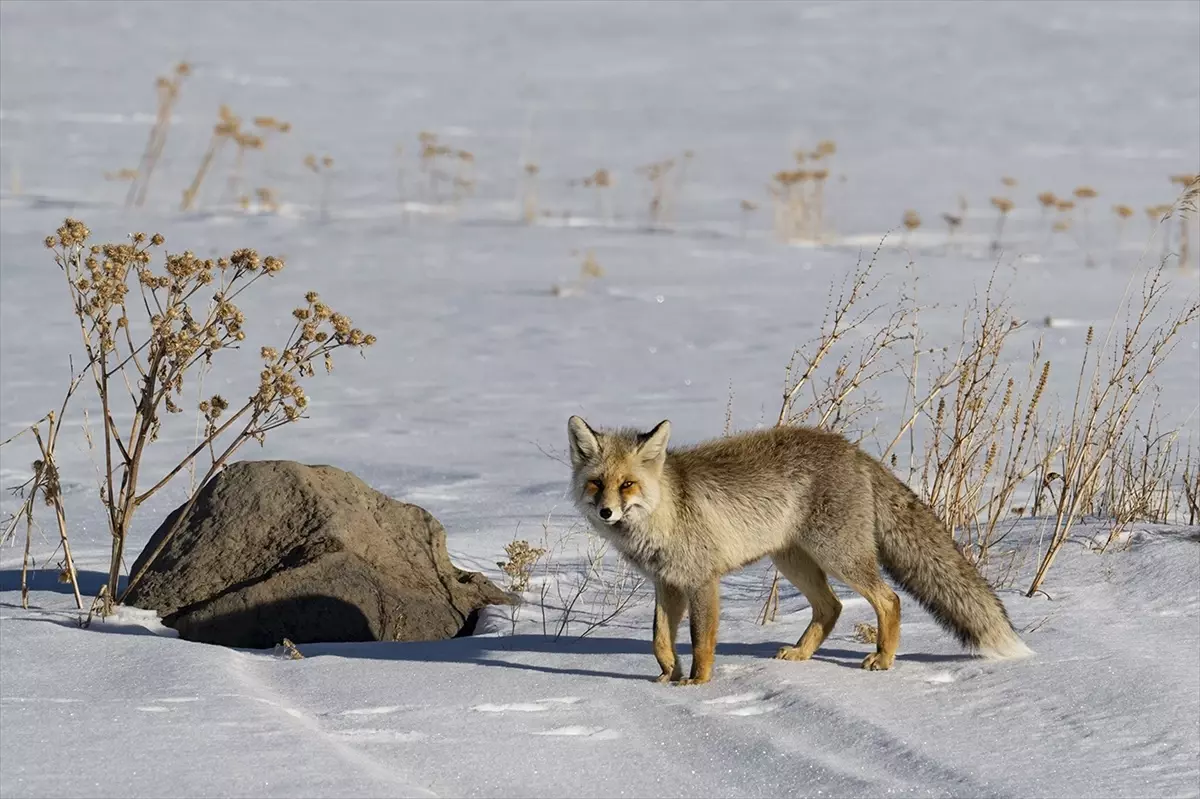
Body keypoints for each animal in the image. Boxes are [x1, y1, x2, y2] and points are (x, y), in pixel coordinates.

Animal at [568, 412, 1032, 681]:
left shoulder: (702, 581)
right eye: (597, 484)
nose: (607, 512)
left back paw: (883, 660)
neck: (665, 510)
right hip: (794, 561)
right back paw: (803, 654)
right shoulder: (666, 583)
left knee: (889, 599)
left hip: (838, 556)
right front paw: (667, 677)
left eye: (628, 484)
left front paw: (698, 684)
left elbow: (701, 641)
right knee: (832, 608)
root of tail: (854, 450)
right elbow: (659, 639)